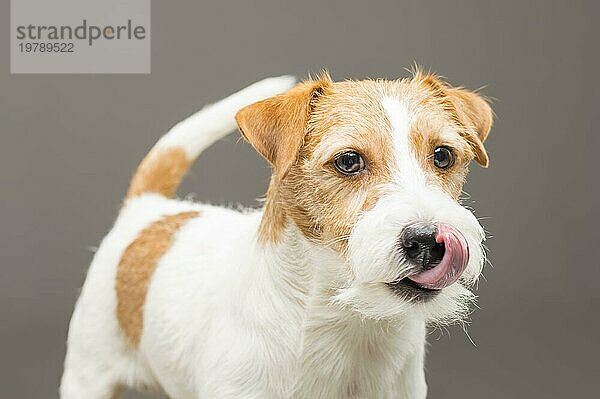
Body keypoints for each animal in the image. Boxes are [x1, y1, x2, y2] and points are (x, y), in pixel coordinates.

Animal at [59, 70, 492, 398]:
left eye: (443, 155)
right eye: (349, 161)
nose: (428, 241)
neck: (345, 323)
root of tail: (148, 208)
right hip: (87, 375)